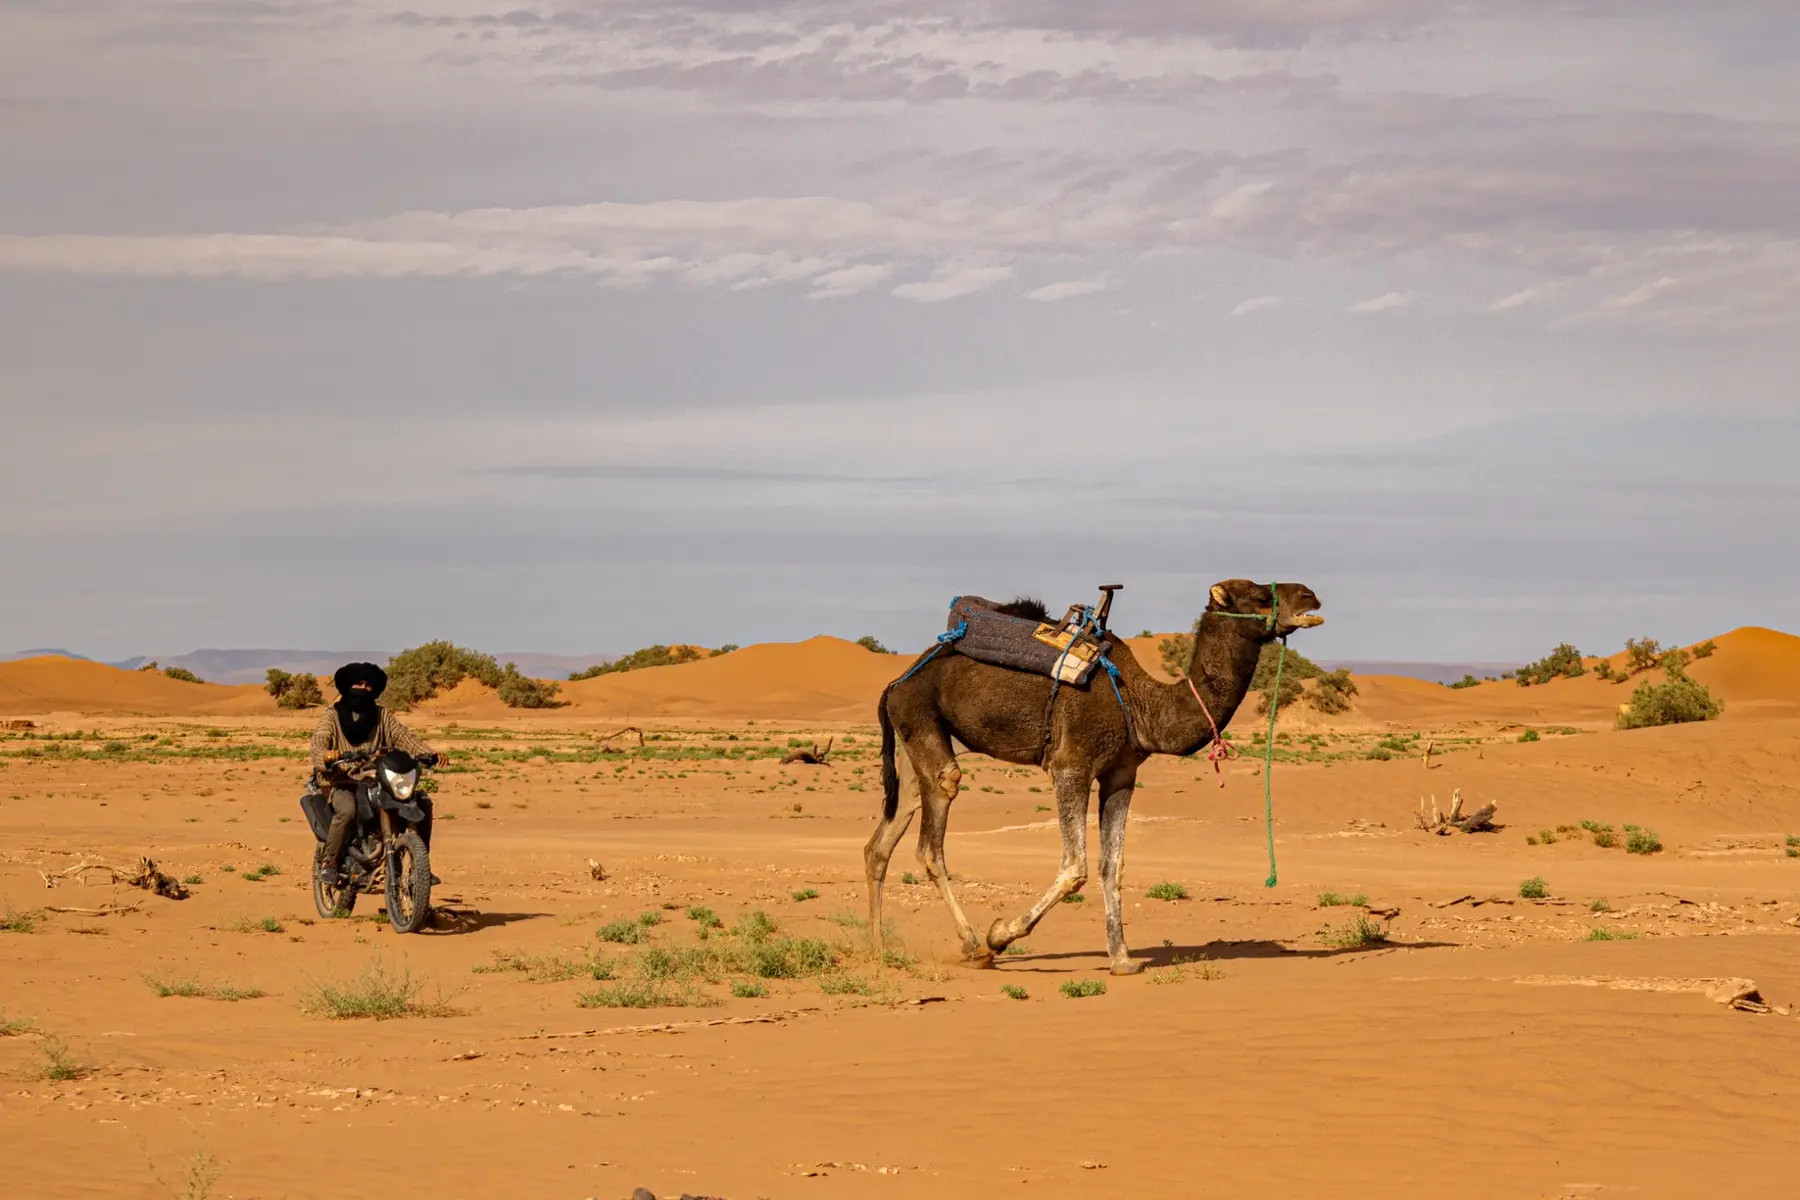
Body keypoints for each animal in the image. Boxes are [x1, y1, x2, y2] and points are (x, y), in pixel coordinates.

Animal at [865, 579, 1323, 975]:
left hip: (918, 737)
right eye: (1260, 597)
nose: (1310, 596)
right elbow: (1075, 868)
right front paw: (1000, 935)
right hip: (920, 715)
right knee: (934, 828)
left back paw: (879, 948)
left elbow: (1112, 866)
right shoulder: (1071, 765)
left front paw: (1122, 959)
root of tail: (895, 681)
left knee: (883, 838)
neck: (1141, 703)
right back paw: (974, 945)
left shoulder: (1121, 774)